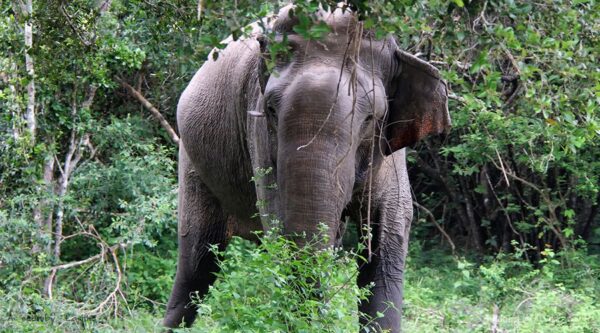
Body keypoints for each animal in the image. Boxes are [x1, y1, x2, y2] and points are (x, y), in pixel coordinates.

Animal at [164, 3, 450, 332]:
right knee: (197, 259)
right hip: (191, 159)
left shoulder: (391, 154)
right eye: (271, 110)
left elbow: (389, 233)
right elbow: (278, 221)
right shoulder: (257, 127)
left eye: (370, 119)